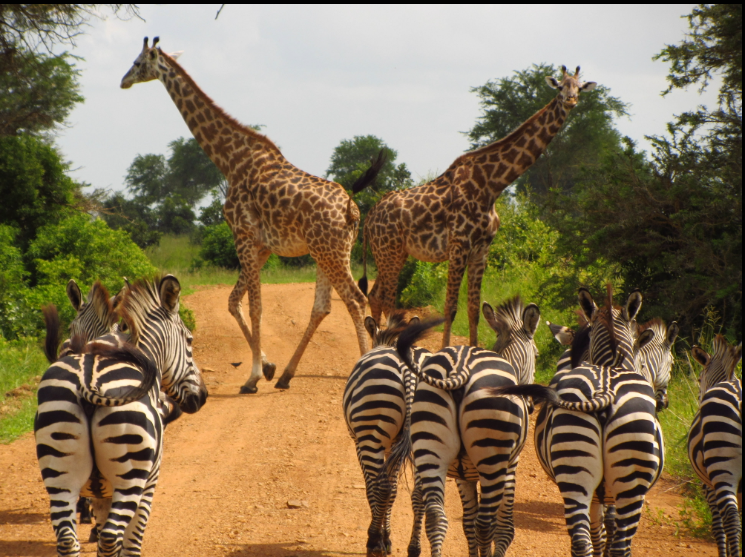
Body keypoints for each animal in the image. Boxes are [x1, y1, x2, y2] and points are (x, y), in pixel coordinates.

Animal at [35, 275, 207, 557]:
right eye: (190, 341)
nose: (202, 396)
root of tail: (88, 382)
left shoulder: (100, 491)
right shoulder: (150, 481)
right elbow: (131, 542)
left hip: (59, 472)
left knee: (69, 540)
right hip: (130, 473)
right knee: (110, 537)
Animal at [343, 312, 429, 557]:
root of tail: (408, 370)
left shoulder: (359, 443)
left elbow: (373, 488)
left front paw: (380, 538)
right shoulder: (394, 446)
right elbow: (393, 491)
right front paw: (388, 537)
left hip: (371, 434)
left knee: (380, 489)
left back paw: (372, 542)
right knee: (419, 493)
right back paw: (414, 548)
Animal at [395, 296, 540, 557]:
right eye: (537, 353)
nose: (532, 407)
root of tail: (460, 366)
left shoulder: (464, 476)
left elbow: (467, 523)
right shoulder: (511, 465)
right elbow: (503, 528)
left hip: (431, 448)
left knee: (436, 517)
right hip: (492, 458)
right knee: (485, 524)